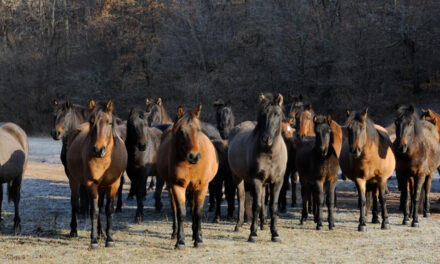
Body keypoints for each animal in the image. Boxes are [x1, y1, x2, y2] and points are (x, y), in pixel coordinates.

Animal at [66, 100, 127, 249]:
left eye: (109, 122)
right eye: (92, 121)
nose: (98, 150)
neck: (105, 160)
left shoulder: (114, 184)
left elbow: (108, 209)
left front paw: (109, 239)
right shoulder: (91, 184)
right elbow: (94, 210)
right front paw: (93, 241)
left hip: (101, 187)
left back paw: (101, 234)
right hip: (74, 181)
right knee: (74, 203)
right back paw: (74, 231)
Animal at [156, 104, 218, 249]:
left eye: (199, 130)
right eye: (181, 131)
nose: (194, 156)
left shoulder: (202, 186)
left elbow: (198, 212)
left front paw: (199, 239)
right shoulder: (177, 186)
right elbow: (181, 213)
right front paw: (180, 241)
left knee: (194, 208)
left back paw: (195, 234)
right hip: (171, 186)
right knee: (174, 208)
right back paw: (175, 233)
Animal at [227, 93, 288, 243]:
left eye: (277, 114)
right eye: (263, 114)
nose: (266, 138)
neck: (270, 152)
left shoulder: (278, 181)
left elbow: (273, 206)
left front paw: (275, 233)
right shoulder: (256, 179)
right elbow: (257, 205)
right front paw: (253, 234)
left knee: (263, 197)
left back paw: (264, 224)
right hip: (237, 177)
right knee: (242, 197)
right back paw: (239, 225)